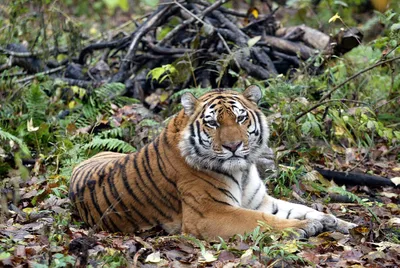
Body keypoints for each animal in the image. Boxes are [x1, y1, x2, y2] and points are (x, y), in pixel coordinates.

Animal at [69, 86, 356, 239]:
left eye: (240, 119)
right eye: (213, 123)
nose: (233, 146)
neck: (242, 171)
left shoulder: (260, 201)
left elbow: (301, 208)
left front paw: (339, 222)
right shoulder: (210, 213)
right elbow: (262, 220)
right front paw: (305, 227)